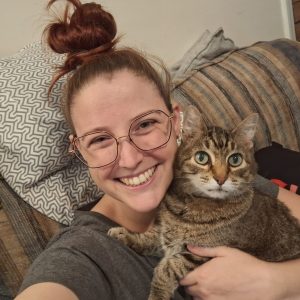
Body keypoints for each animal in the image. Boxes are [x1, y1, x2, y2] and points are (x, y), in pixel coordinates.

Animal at [108, 105, 300, 300]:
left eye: (235, 160)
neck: (188, 205)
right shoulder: (167, 235)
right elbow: (150, 237)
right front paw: (125, 235)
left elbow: (168, 268)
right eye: (202, 157)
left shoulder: (199, 254)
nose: (221, 179)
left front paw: (157, 294)